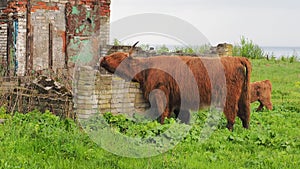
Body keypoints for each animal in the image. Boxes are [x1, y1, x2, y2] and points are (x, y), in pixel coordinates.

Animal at [99, 44, 252, 130]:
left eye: (117, 56)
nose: (103, 59)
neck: (146, 70)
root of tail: (237, 58)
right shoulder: (177, 99)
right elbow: (182, 116)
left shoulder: (161, 94)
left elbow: (162, 114)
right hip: (243, 94)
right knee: (245, 112)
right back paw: (246, 129)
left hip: (230, 96)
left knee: (232, 112)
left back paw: (228, 130)